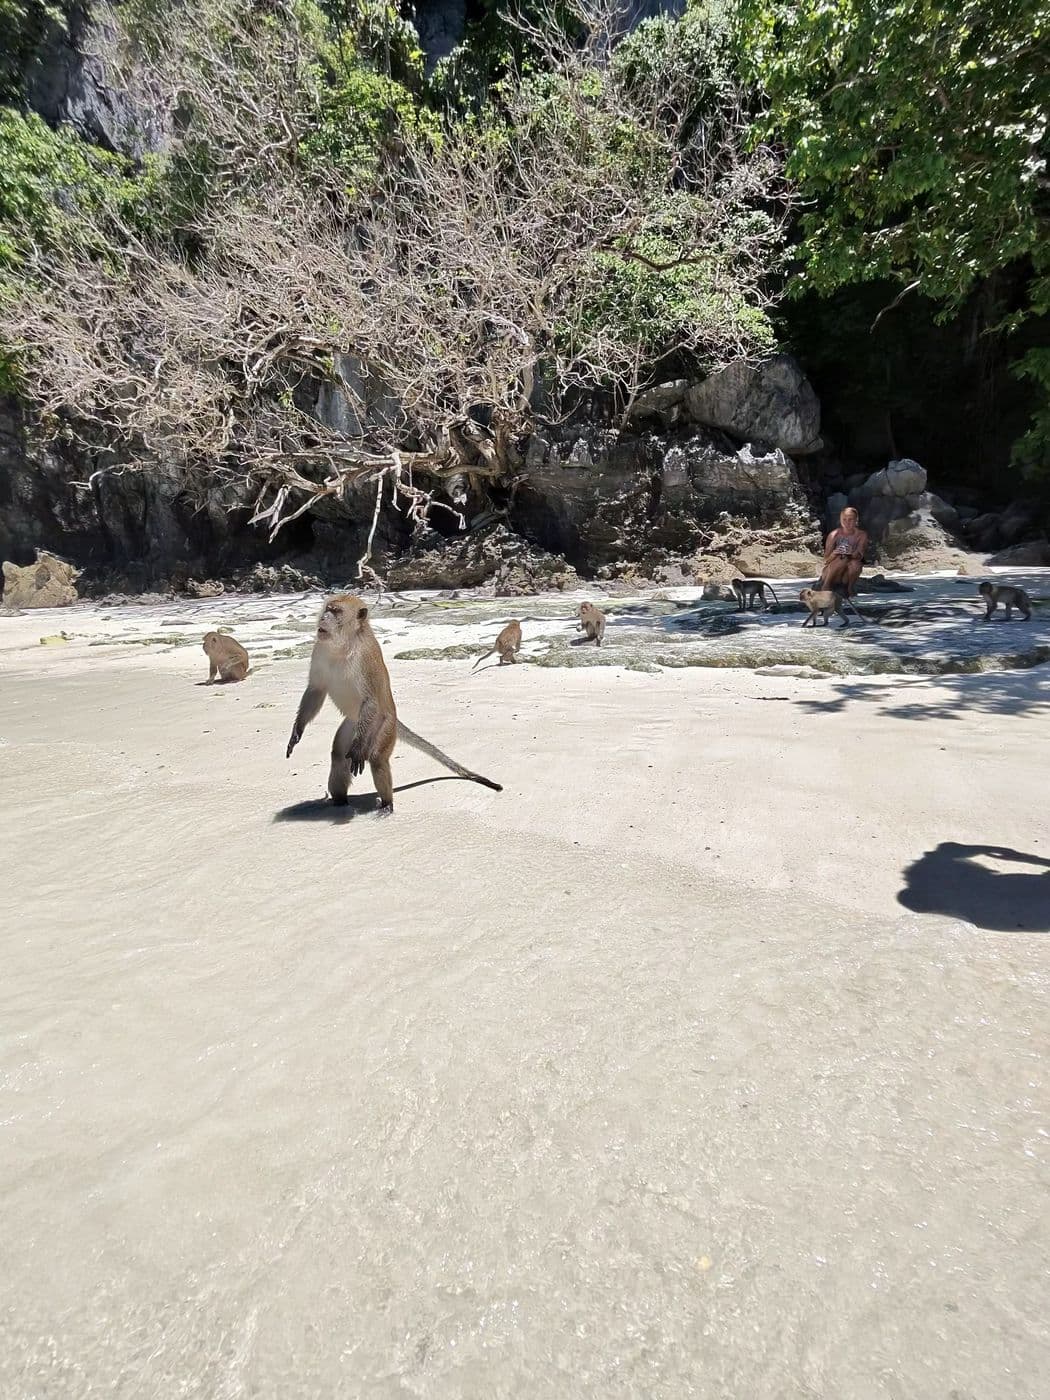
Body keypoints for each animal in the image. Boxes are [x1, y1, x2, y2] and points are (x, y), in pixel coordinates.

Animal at [286, 595, 502, 812]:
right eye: (327, 609)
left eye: (336, 612)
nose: (323, 618)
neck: (344, 644)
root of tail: (395, 719)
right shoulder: (319, 649)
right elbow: (316, 689)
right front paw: (297, 731)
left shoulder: (366, 658)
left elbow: (371, 701)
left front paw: (357, 751)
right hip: (353, 725)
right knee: (338, 755)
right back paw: (339, 801)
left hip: (382, 726)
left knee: (377, 758)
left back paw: (386, 803)